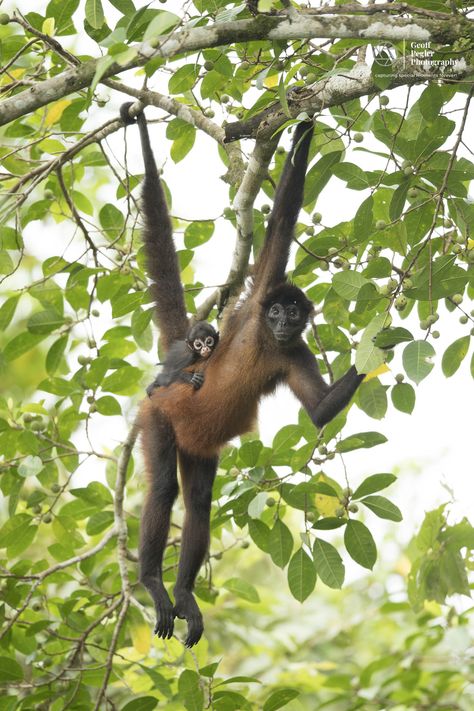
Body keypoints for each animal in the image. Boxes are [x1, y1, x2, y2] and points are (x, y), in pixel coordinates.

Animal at [120, 103, 364, 648]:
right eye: (275, 310)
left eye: (293, 314)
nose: (282, 320)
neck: (268, 341)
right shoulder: (255, 304)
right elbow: (279, 225)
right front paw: (302, 127)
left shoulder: (293, 351)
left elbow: (320, 412)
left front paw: (383, 347)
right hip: (160, 415)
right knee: (164, 488)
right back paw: (153, 582)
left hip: (199, 444)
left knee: (199, 503)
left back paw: (184, 594)